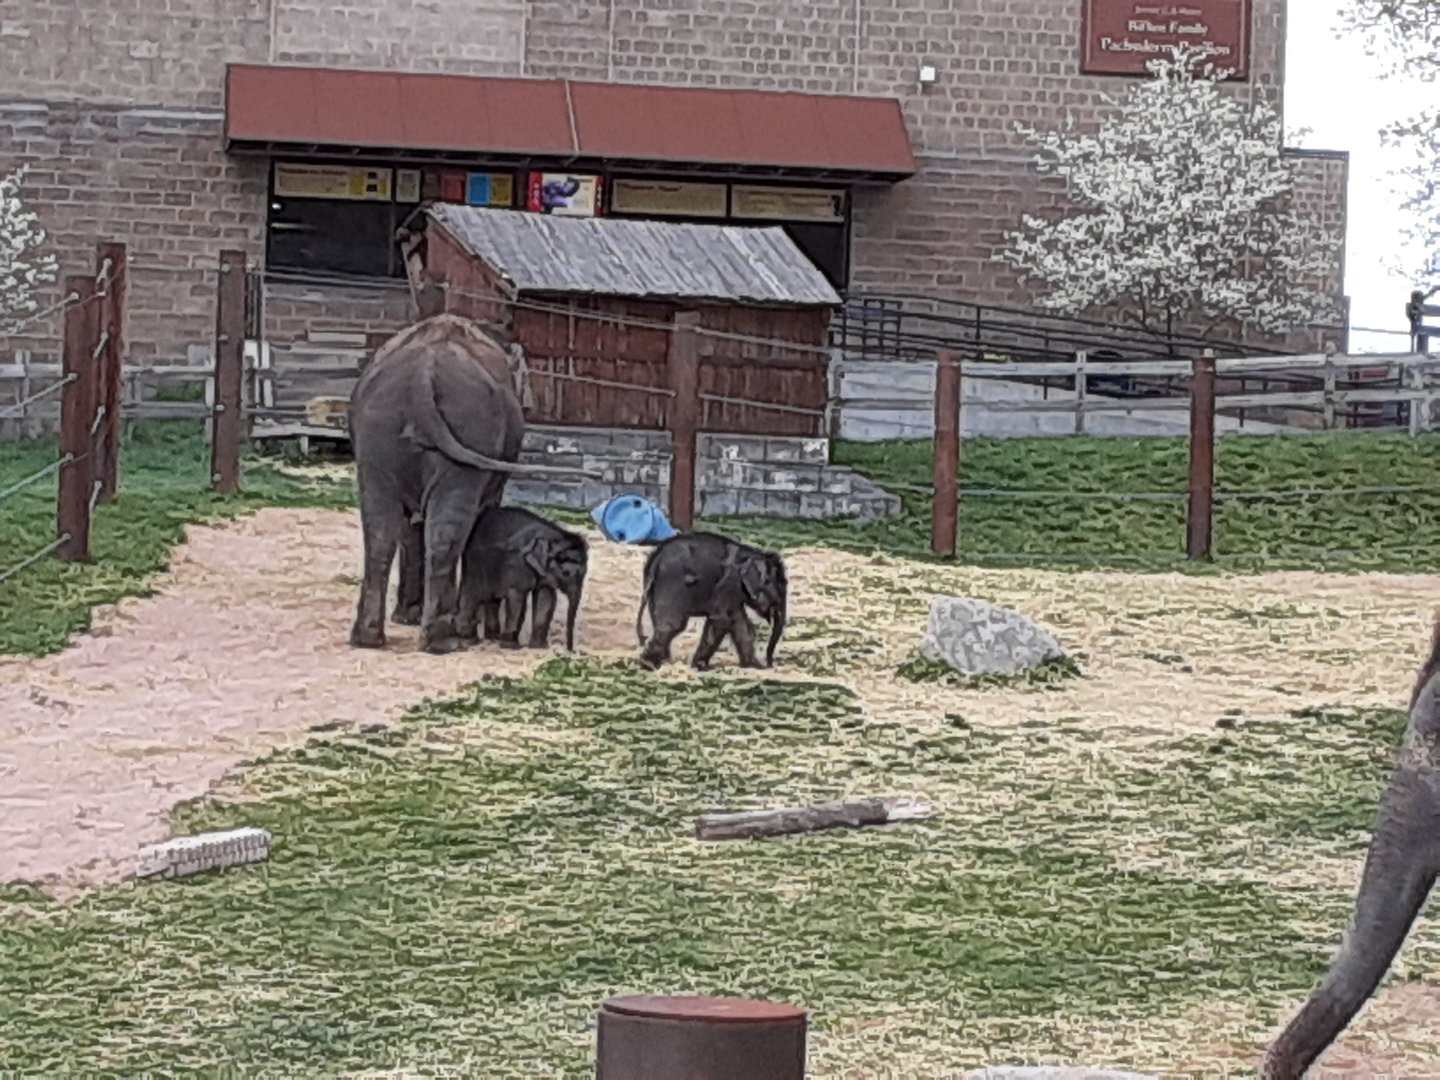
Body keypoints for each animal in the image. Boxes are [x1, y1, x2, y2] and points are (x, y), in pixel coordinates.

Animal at [456, 505, 589, 652]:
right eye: (566, 573)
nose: (571, 650)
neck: (552, 538)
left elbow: (545, 598)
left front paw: (539, 647)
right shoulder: (518, 563)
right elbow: (517, 597)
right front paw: (512, 647)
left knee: (493, 599)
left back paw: (493, 638)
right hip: (475, 563)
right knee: (473, 594)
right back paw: (469, 641)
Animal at [634, 531, 788, 672]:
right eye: (781, 586)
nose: (770, 665)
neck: (753, 553)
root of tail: (655, 557)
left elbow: (739, 623)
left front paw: (754, 667)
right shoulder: (728, 584)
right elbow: (722, 620)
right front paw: (700, 666)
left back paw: (663, 662)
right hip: (671, 584)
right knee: (673, 624)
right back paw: (649, 665)